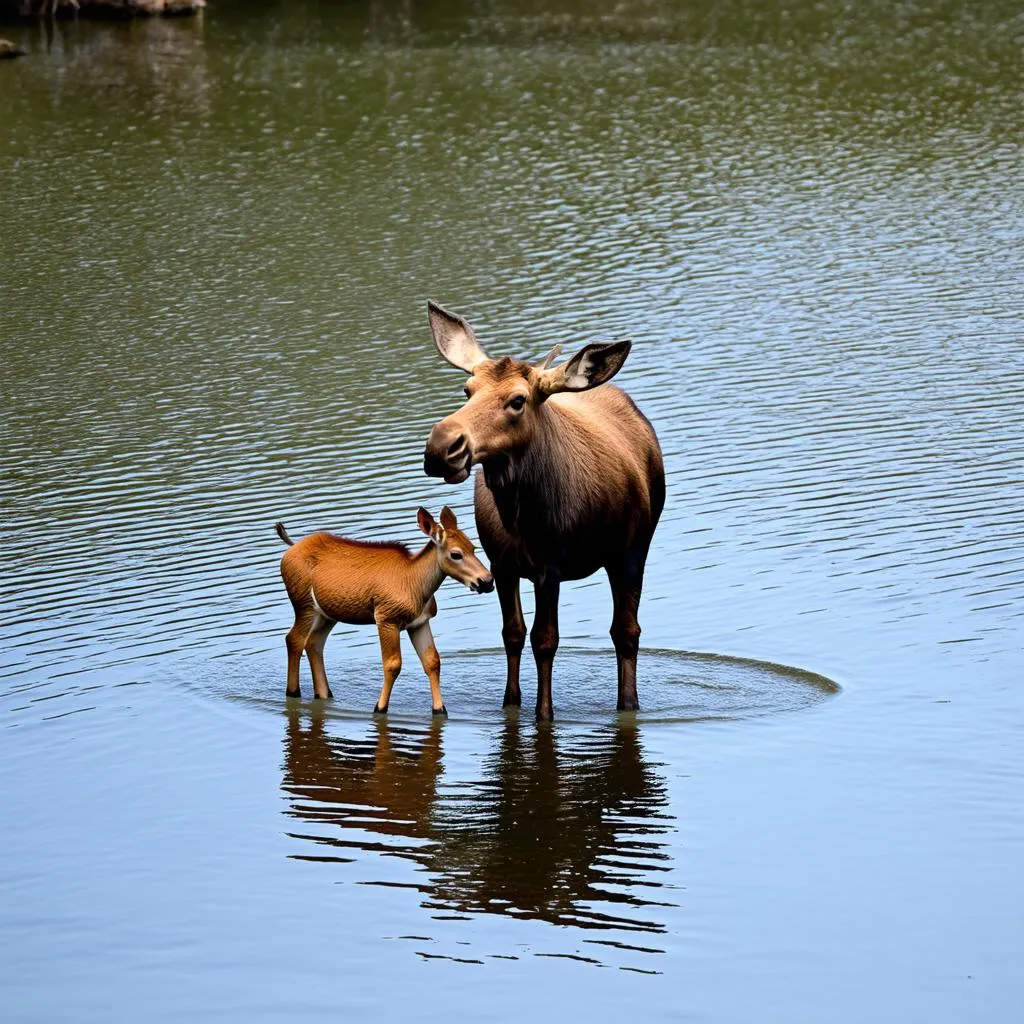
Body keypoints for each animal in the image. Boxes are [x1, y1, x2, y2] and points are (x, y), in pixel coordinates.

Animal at [276, 507, 491, 716]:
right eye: (456, 554)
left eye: (473, 547)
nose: (487, 581)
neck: (419, 586)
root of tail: (290, 547)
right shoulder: (386, 618)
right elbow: (392, 664)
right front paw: (380, 707)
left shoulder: (420, 622)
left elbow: (432, 662)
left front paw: (439, 709)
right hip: (304, 606)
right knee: (294, 639)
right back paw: (293, 691)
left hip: (327, 615)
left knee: (314, 643)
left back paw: (323, 693)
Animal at [421, 301, 663, 720]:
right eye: (467, 389)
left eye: (518, 401)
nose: (441, 446)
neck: (521, 519)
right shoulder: (501, 564)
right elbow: (513, 634)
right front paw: (511, 701)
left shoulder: (550, 568)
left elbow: (546, 640)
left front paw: (544, 714)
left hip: (632, 550)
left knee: (626, 631)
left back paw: (628, 704)